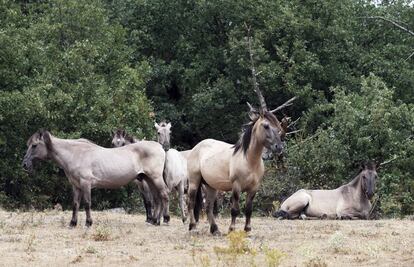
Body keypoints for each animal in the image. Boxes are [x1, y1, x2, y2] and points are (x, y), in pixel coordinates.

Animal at [21, 131, 168, 227]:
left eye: (34, 145)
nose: (24, 165)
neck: (75, 154)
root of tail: (160, 147)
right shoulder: (76, 186)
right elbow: (75, 204)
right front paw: (73, 223)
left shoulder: (86, 184)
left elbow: (87, 203)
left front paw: (88, 223)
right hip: (148, 180)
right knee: (157, 198)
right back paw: (155, 220)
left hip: (155, 178)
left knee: (164, 195)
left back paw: (165, 219)